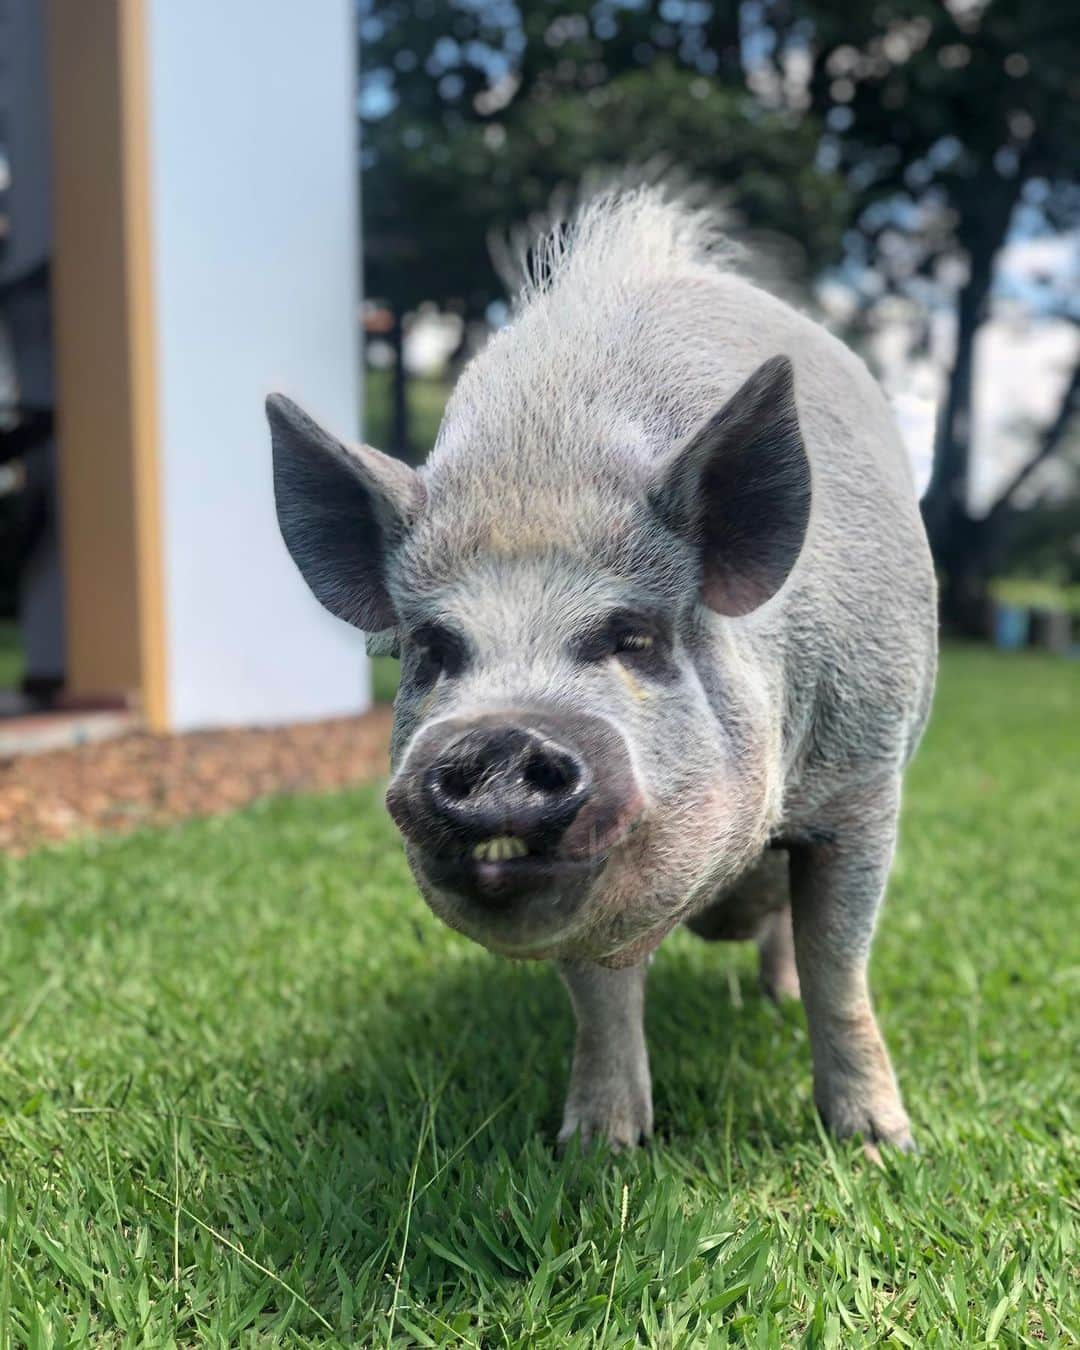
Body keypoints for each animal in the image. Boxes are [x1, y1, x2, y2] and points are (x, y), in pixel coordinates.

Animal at [267, 187, 934, 1150]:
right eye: (433, 649)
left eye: (633, 638)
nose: (498, 741)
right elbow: (600, 995)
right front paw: (595, 1147)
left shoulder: (865, 781)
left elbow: (840, 961)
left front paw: (882, 1149)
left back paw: (776, 1002)